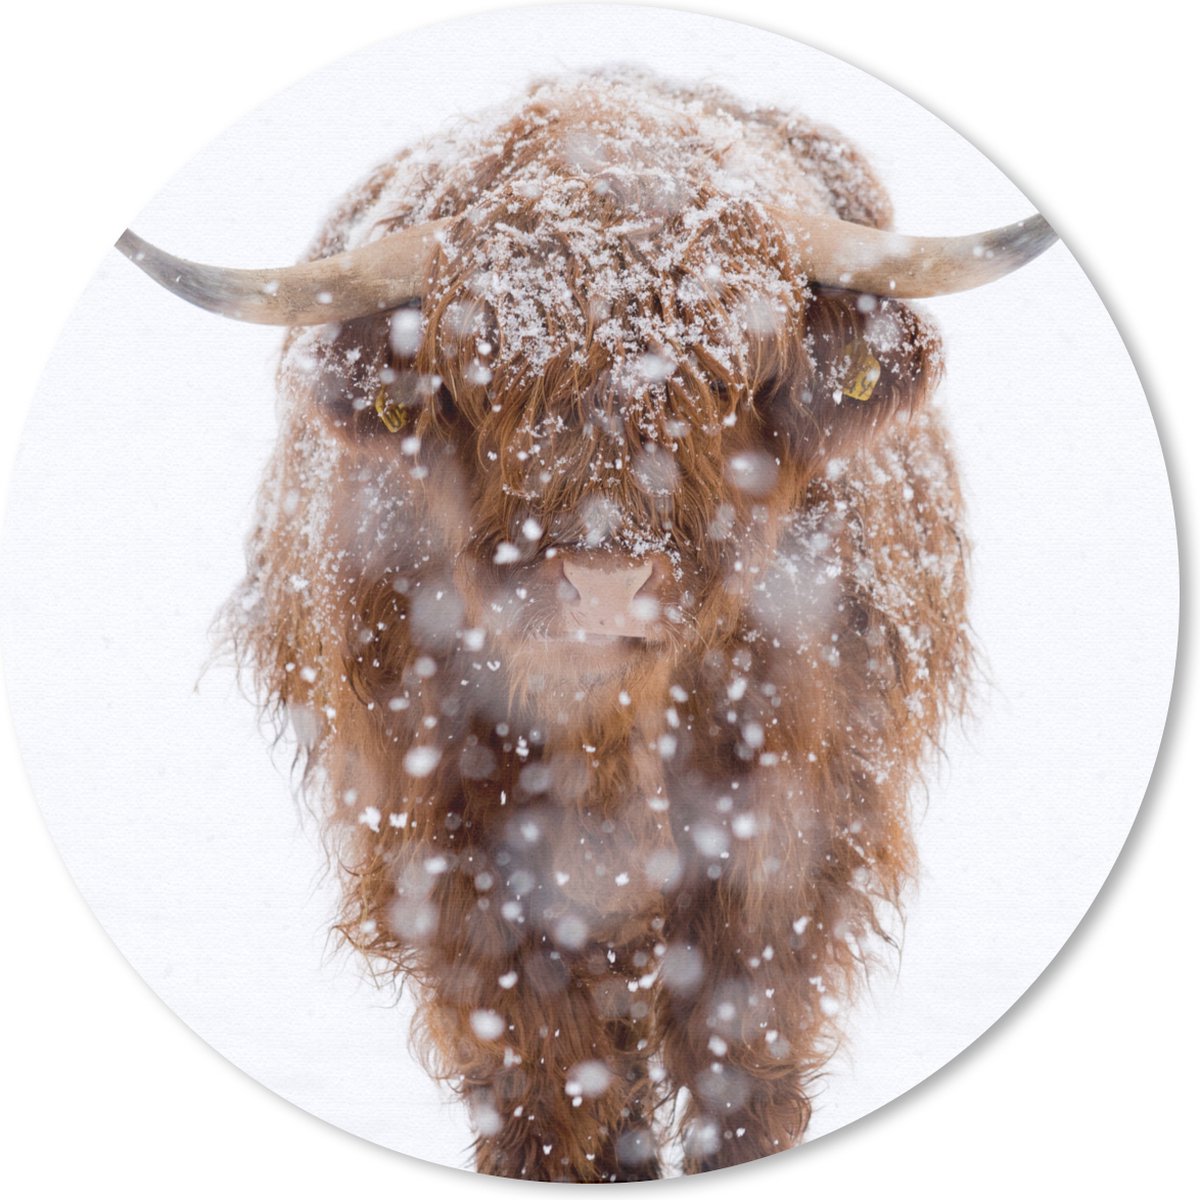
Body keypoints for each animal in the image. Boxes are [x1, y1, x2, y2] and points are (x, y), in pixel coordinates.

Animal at [119, 68, 1055, 1180]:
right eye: (487, 374)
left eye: (729, 372)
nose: (606, 581)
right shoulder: (457, 854)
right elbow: (547, 1074)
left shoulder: (788, 835)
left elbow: (740, 1048)